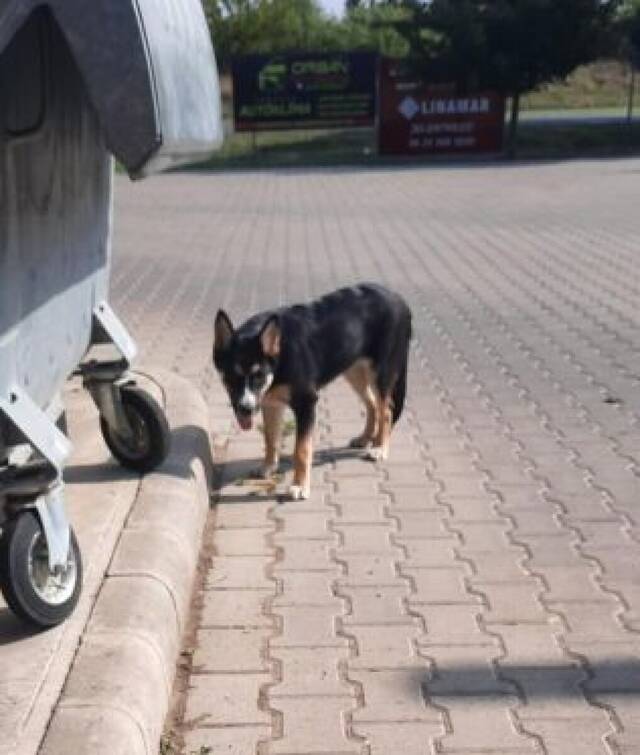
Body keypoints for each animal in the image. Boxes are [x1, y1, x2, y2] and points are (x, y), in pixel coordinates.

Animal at [213, 283, 412, 500]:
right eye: (232, 377)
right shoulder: (270, 404)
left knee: (386, 411)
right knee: (372, 405)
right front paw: (268, 467)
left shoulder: (306, 403)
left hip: (380, 374)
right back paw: (366, 438)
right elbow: (271, 438)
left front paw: (300, 485)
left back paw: (380, 447)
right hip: (355, 371)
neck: (281, 354)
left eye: (258, 376)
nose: (246, 409)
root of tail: (399, 299)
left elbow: (301, 449)